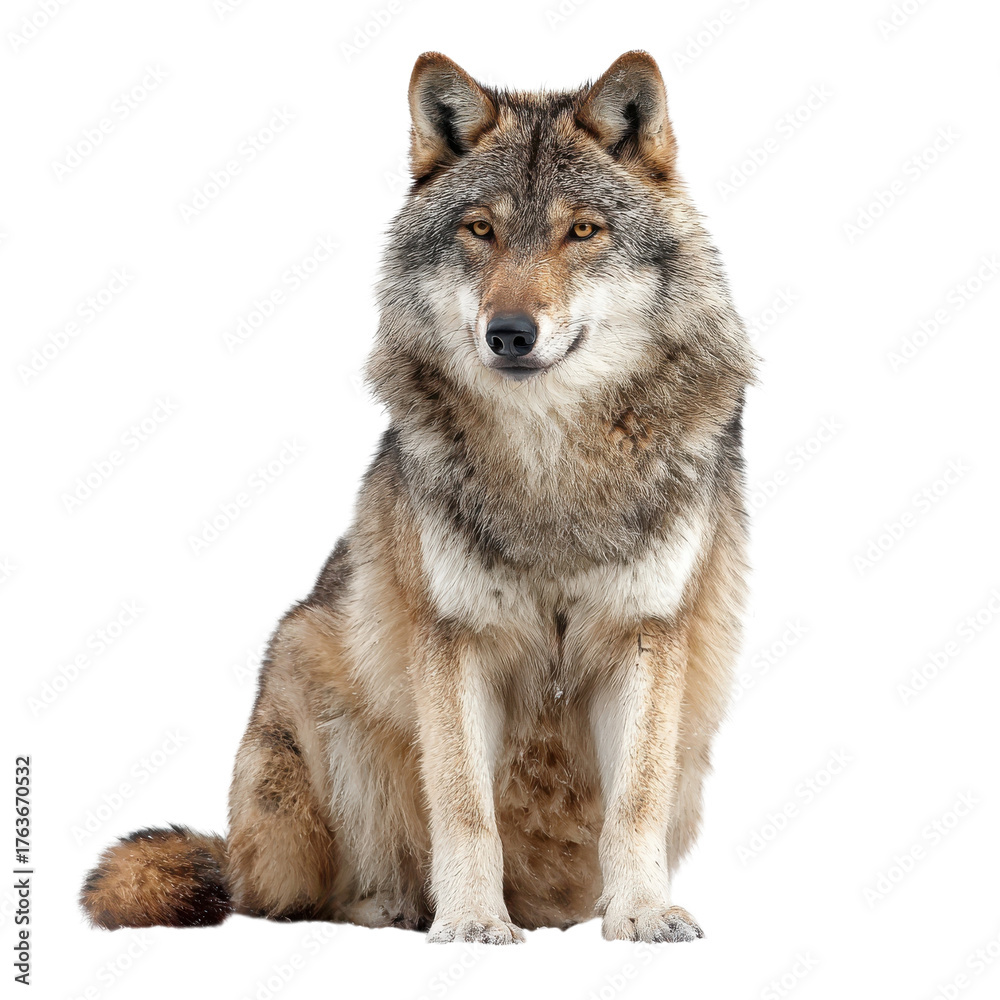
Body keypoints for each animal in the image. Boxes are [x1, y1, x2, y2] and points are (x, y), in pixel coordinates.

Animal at [80, 50, 754, 944]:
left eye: (582, 232)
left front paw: (640, 914)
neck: (550, 466)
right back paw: (397, 908)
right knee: (295, 896)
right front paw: (470, 923)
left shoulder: (647, 633)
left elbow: (633, 804)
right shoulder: (453, 636)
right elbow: (464, 806)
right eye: (481, 230)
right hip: (309, 665)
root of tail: (232, 852)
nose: (510, 333)